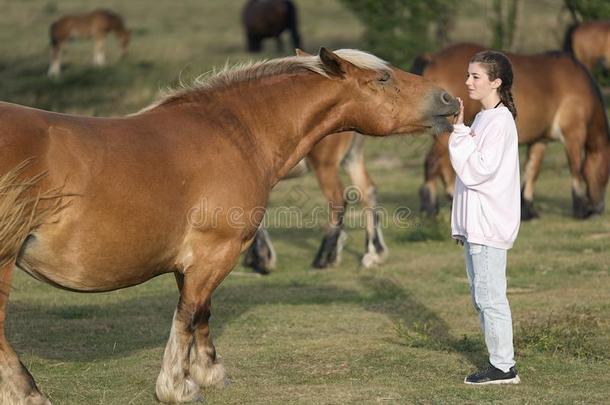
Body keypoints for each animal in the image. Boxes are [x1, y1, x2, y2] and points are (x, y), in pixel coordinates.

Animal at [242, 131, 384, 274]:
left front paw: (262, 260)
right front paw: (255, 259)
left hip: (325, 166)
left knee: (338, 200)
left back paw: (323, 259)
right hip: (351, 158)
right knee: (367, 191)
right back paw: (373, 253)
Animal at [414, 43, 608, 219]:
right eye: (606, 174)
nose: (598, 208)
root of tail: (433, 58)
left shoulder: (540, 140)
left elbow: (532, 170)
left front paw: (528, 209)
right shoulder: (573, 134)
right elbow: (576, 168)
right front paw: (581, 208)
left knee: (444, 165)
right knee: (433, 162)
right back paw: (430, 207)